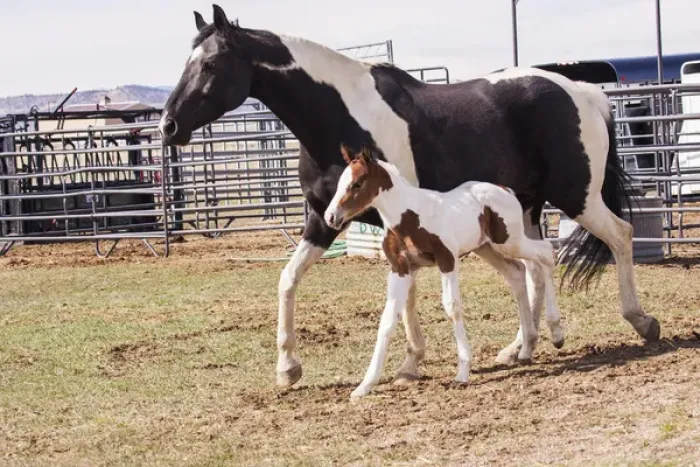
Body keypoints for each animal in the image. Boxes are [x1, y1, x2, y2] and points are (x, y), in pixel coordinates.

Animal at [325, 145, 563, 397]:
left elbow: (452, 307)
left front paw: (463, 372)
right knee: (517, 272)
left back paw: (556, 333)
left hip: (509, 241)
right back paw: (526, 347)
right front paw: (364, 386)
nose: (331, 217)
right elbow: (388, 319)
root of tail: (504, 189)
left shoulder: (447, 260)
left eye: (357, 183)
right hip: (487, 248)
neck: (410, 216)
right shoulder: (401, 269)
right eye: (340, 182)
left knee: (545, 253)